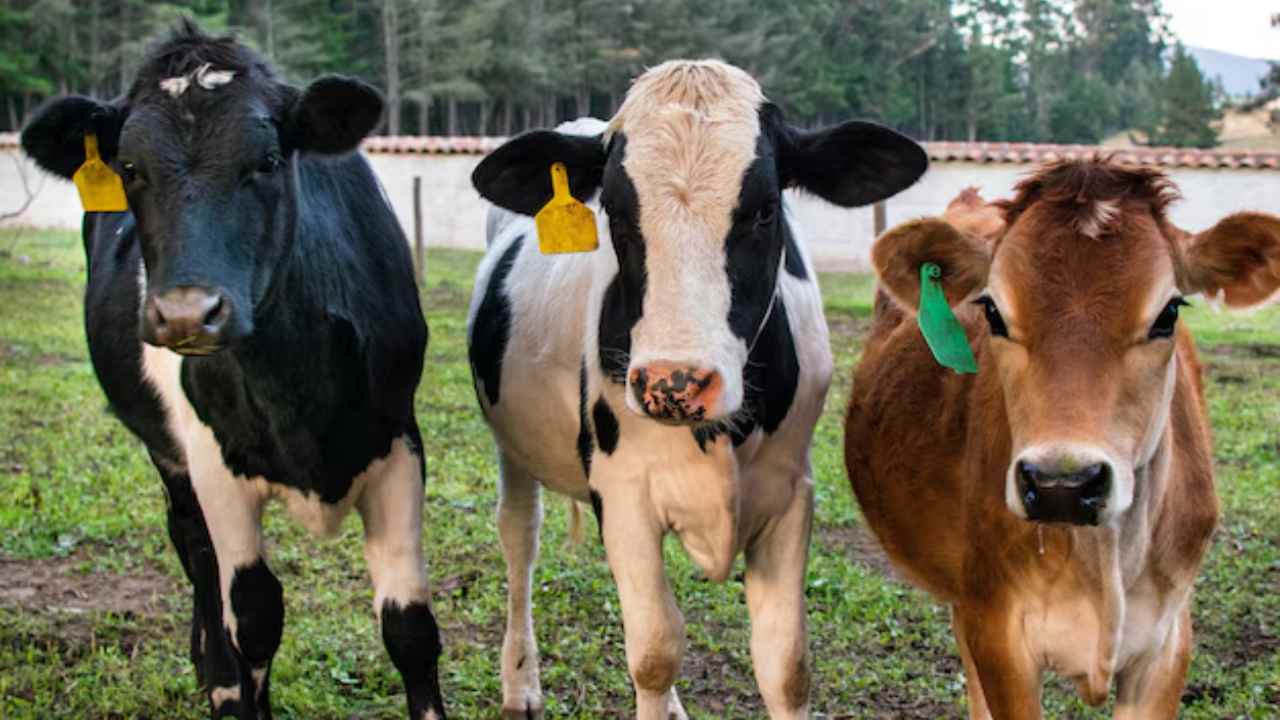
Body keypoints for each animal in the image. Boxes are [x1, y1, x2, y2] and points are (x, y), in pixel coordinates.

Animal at [18, 22, 450, 717]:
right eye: (130, 169)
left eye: (268, 161)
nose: (186, 314)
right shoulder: (212, 461)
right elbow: (253, 615)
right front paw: (236, 683)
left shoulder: (397, 442)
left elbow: (410, 629)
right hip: (168, 452)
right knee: (195, 549)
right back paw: (217, 678)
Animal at [465, 58, 926, 712]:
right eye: (616, 213)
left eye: (765, 209)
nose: (673, 382)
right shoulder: (623, 493)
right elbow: (655, 654)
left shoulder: (791, 493)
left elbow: (785, 665)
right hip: (513, 445)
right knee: (518, 535)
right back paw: (521, 683)